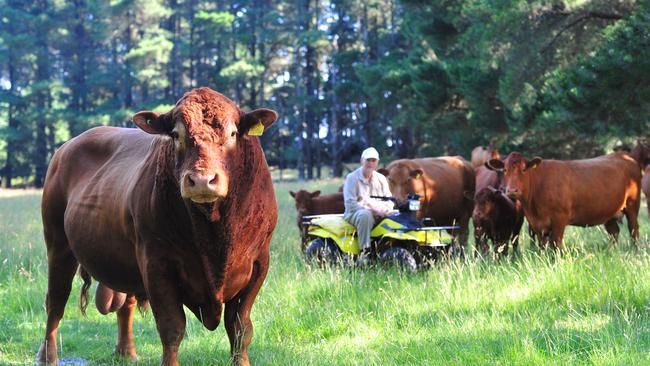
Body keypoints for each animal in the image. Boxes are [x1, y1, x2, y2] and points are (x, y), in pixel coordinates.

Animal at [36, 88, 278, 366]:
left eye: (233, 134)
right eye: (176, 134)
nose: (202, 180)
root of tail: (67, 146)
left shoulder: (259, 262)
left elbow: (240, 328)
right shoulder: (157, 264)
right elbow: (172, 328)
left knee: (125, 303)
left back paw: (126, 352)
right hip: (58, 244)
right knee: (55, 302)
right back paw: (47, 356)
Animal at [486, 151, 636, 249]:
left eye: (524, 169)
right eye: (505, 170)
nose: (512, 190)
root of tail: (623, 155)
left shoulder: (559, 219)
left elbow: (556, 244)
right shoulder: (537, 225)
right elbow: (543, 246)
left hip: (632, 205)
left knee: (634, 230)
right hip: (609, 213)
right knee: (614, 232)